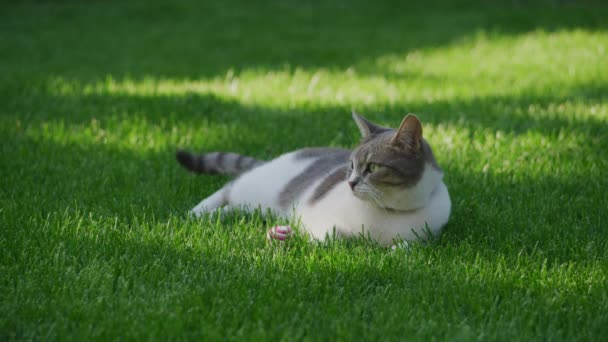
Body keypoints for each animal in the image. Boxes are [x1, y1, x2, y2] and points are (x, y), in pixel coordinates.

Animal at [176, 113, 452, 248]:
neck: (387, 213)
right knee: (227, 190)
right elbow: (330, 236)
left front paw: (395, 251)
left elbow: (407, 247)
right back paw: (196, 213)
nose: (350, 183)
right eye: (351, 165)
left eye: (372, 167)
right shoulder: (315, 215)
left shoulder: (428, 237)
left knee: (235, 208)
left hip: (256, 206)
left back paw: (217, 217)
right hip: (254, 187)